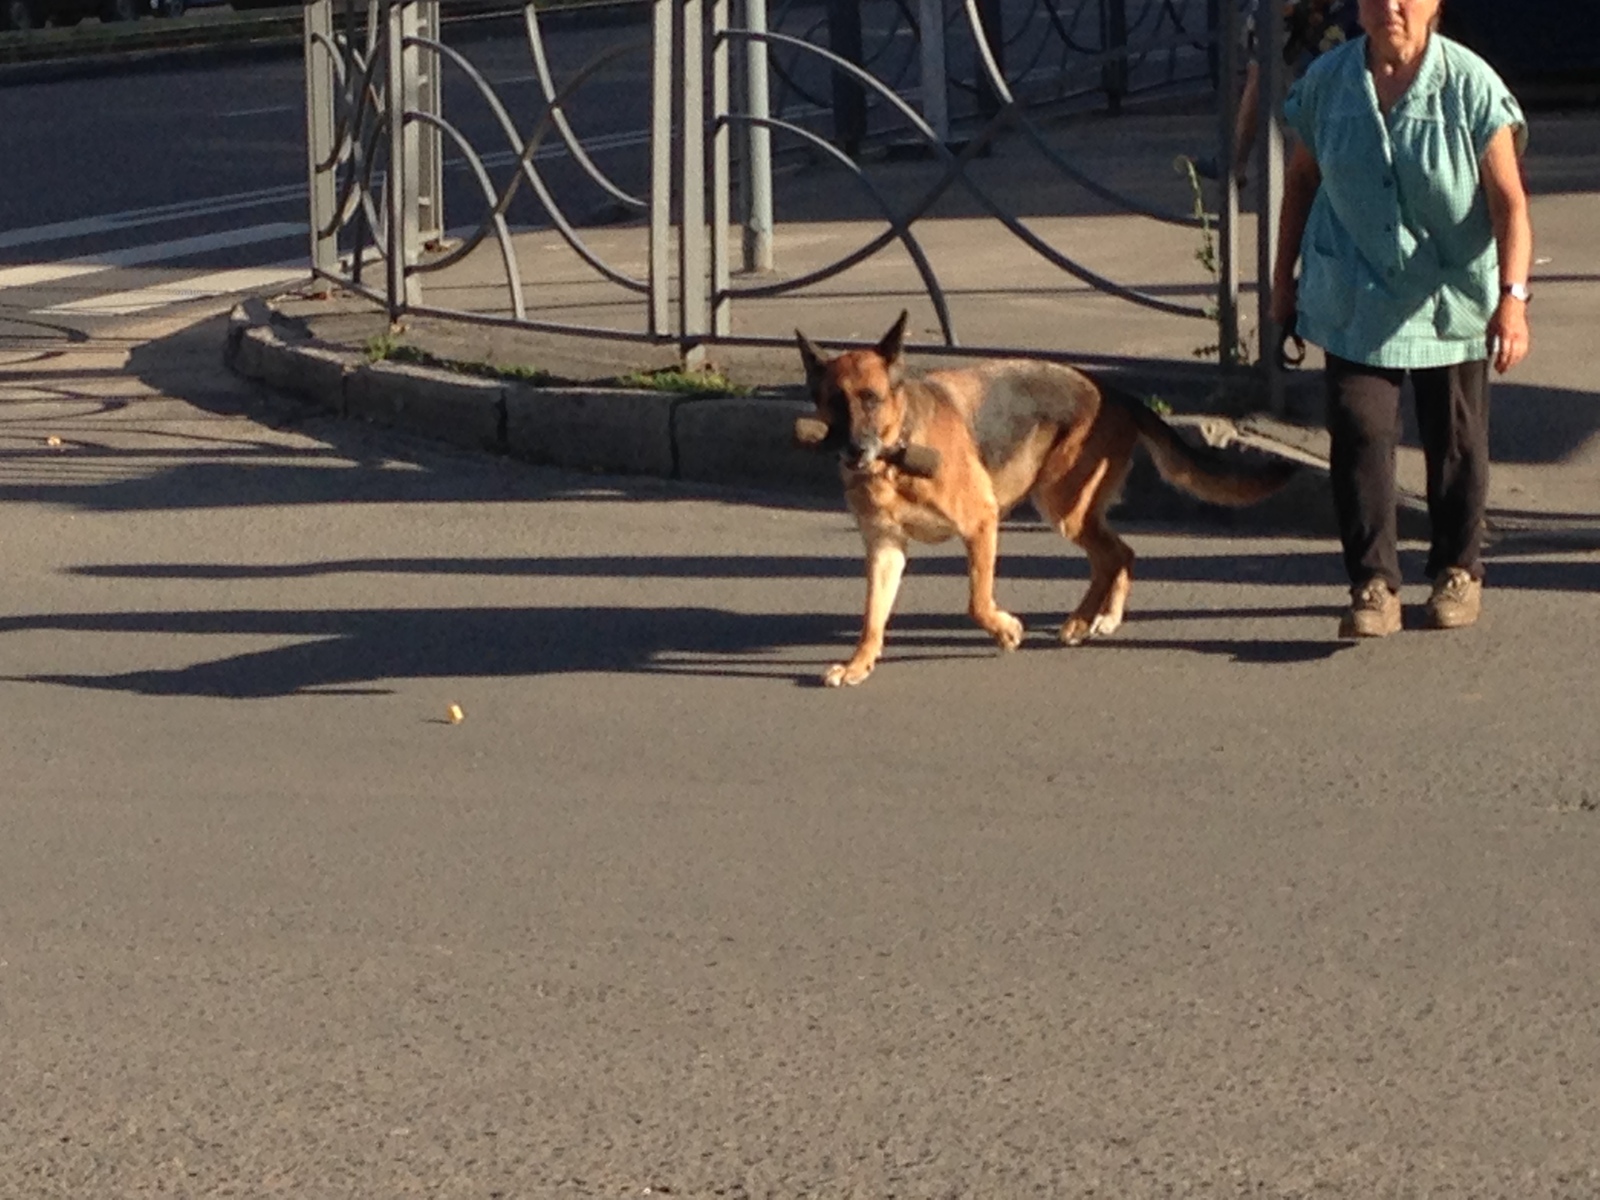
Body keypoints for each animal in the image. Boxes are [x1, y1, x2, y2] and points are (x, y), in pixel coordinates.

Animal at [793, 312, 1292, 684]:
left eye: (871, 399)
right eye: (834, 401)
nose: (855, 451)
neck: (896, 454)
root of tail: (1115, 392)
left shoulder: (982, 522)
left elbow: (977, 603)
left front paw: (1006, 630)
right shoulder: (885, 550)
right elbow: (872, 617)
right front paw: (859, 664)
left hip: (1062, 506)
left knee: (1112, 556)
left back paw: (1082, 620)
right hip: (1072, 509)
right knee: (1121, 553)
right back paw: (1104, 617)